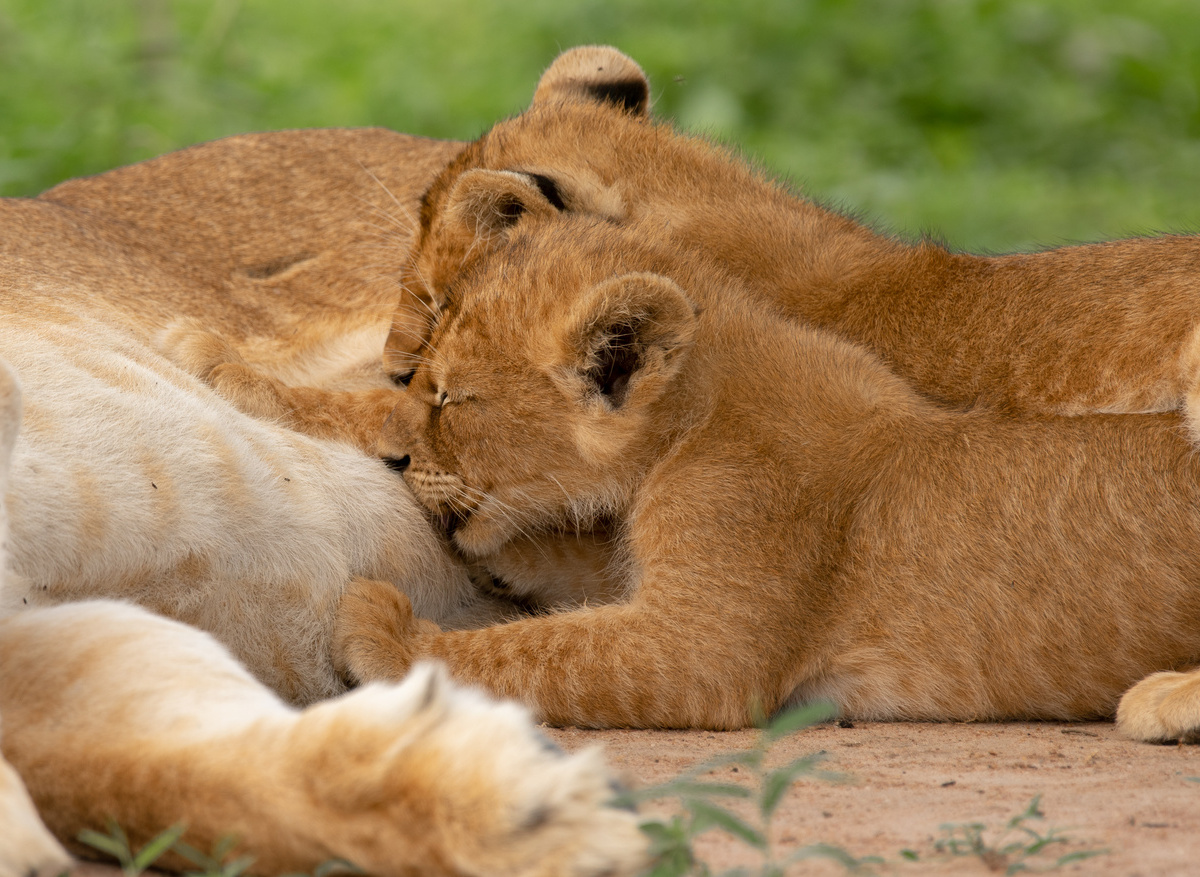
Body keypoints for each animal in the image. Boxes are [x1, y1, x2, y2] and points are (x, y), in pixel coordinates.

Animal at [331, 210, 1200, 743]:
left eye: (449, 396)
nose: (392, 455)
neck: (698, 414)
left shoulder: (698, 641)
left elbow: (539, 652)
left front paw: (385, 629)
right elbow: (584, 573)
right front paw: (506, 554)